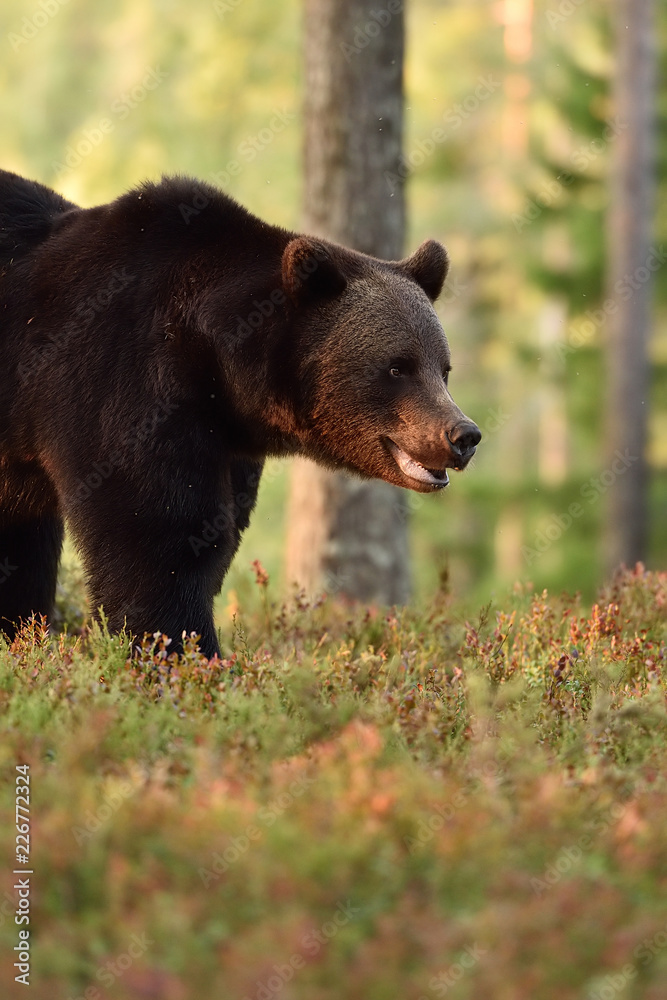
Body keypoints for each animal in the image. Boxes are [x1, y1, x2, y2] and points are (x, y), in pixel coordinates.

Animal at [0, 170, 481, 658]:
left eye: (443, 368)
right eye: (398, 367)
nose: (462, 435)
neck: (214, 361)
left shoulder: (225, 441)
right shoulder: (120, 379)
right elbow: (156, 533)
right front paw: (183, 652)